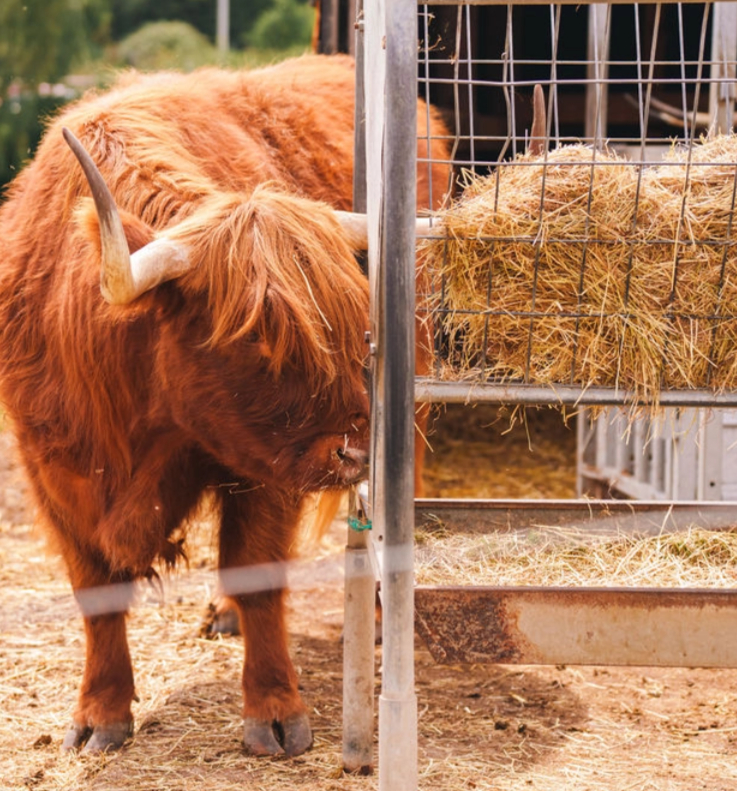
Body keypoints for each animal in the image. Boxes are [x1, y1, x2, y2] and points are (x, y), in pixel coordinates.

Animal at [0, 54, 449, 757]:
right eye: (257, 339)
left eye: (357, 326)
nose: (353, 451)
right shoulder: (51, 469)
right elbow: (95, 590)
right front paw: (99, 713)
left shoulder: (264, 472)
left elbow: (257, 572)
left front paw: (275, 711)